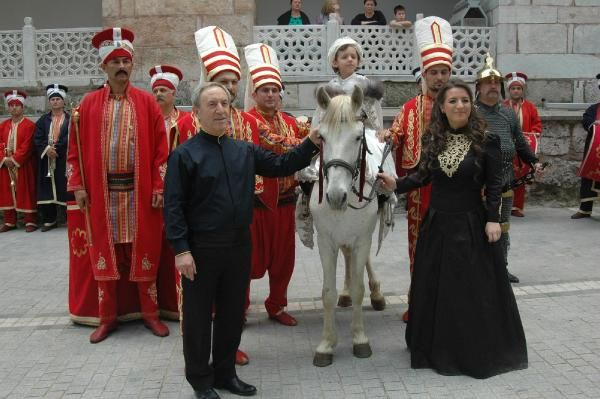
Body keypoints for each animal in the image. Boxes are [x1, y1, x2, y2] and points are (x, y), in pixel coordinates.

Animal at [310, 86, 394, 368]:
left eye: (358, 137)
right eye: (322, 137)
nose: (336, 196)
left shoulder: (362, 238)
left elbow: (359, 289)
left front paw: (360, 340)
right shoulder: (326, 241)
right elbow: (327, 293)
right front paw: (326, 345)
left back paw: (377, 294)